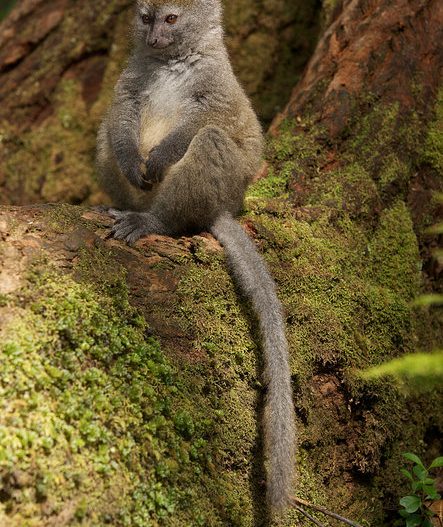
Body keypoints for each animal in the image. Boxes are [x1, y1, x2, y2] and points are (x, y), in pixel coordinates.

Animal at [96, 0, 296, 512]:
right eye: (146, 18)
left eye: (171, 19)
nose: (154, 38)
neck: (171, 63)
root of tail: (222, 206)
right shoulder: (134, 73)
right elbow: (122, 111)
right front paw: (133, 157)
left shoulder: (216, 80)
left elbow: (209, 119)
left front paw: (161, 155)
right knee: (108, 129)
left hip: (218, 186)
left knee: (208, 139)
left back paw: (158, 223)